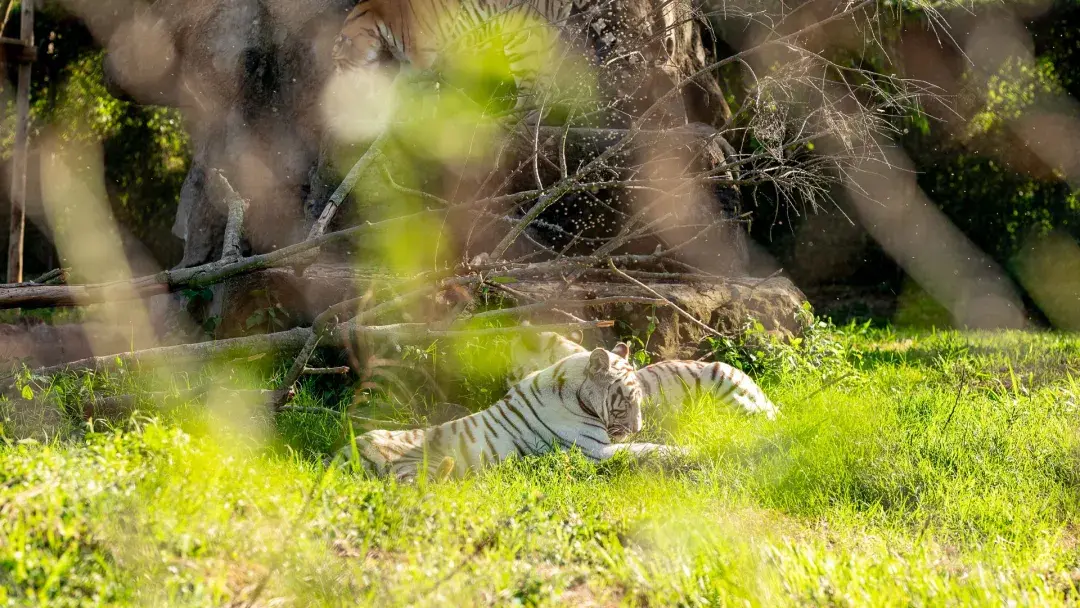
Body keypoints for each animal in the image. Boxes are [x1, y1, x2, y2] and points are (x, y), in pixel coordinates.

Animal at [337, 344, 686, 481]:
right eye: (627, 400)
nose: (637, 427)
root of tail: (340, 454)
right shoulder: (594, 452)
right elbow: (646, 449)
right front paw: (685, 450)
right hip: (420, 467)